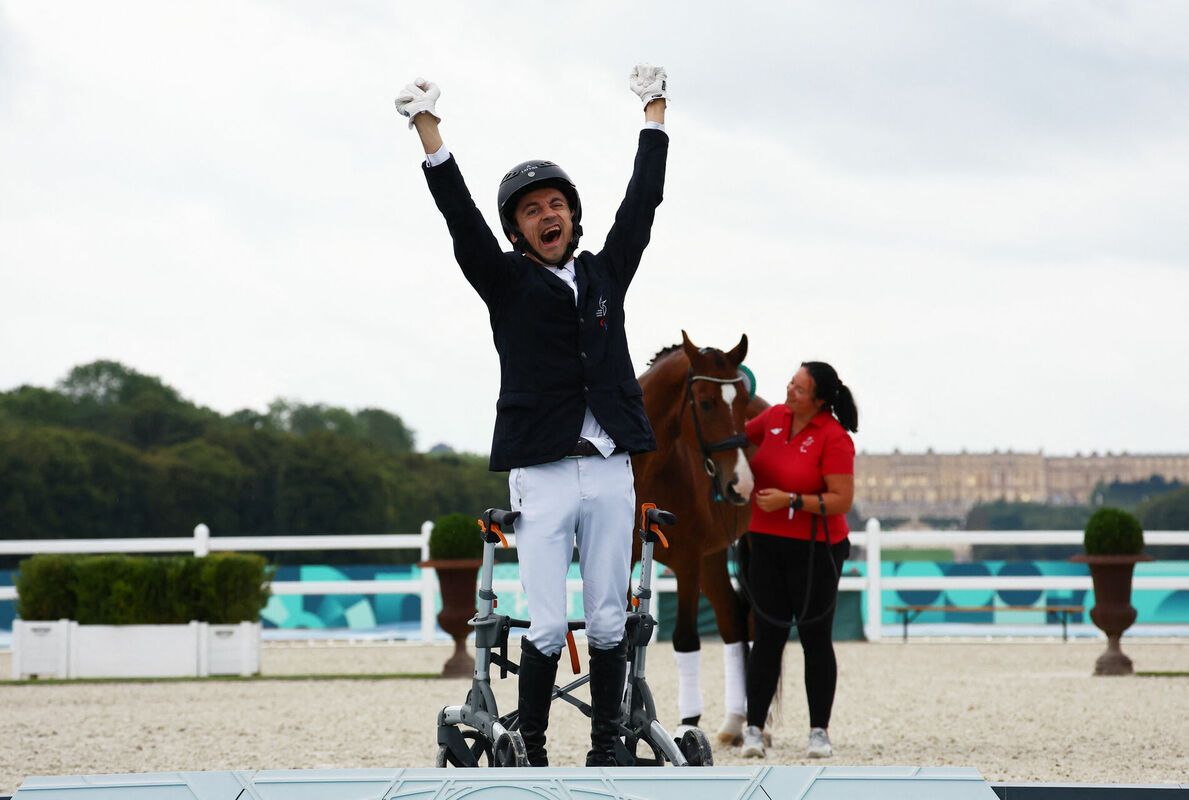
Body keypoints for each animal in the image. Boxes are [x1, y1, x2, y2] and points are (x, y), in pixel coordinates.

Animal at [632, 330, 770, 741]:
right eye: (706, 404)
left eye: (740, 401)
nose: (741, 484)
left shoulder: (687, 563)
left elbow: (685, 639)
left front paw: (687, 724)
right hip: (713, 558)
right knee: (732, 624)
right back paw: (732, 724)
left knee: (750, 624)